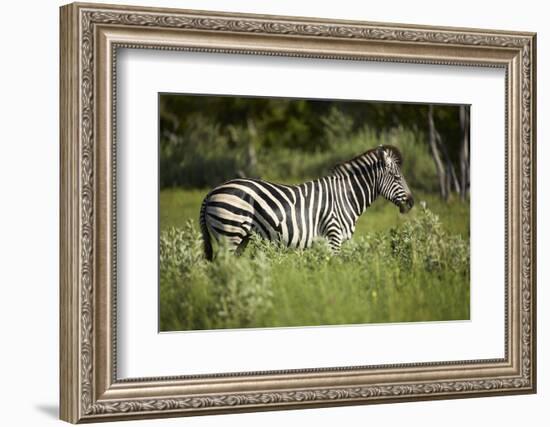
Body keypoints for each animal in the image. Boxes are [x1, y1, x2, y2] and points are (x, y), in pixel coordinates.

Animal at [201, 145, 416, 260]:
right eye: (397, 177)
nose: (412, 203)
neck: (345, 198)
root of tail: (212, 192)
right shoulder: (333, 236)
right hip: (229, 232)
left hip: (241, 237)